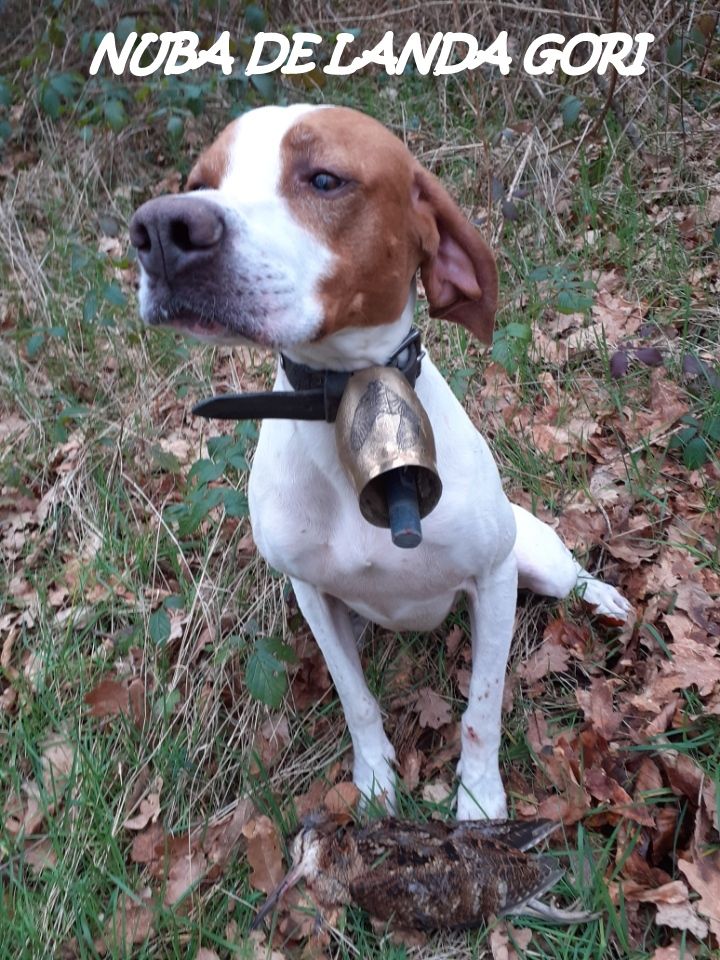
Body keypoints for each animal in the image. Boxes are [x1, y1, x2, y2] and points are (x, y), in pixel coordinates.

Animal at [131, 105, 632, 816]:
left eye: (324, 178)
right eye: (200, 182)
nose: (159, 230)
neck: (347, 402)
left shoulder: (493, 580)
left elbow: (482, 710)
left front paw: (480, 801)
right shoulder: (312, 595)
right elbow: (356, 701)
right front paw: (373, 782)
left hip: (531, 558)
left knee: (572, 577)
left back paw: (608, 598)